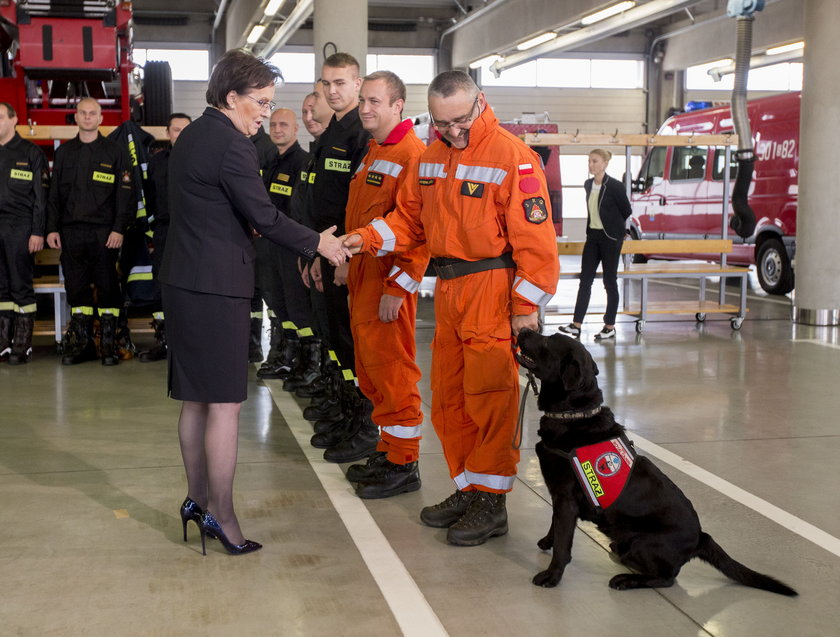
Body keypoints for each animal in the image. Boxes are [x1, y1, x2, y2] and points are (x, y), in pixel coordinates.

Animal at [516, 328, 796, 596]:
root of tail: (701, 538)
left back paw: (625, 580)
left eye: (548, 341)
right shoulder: (559, 498)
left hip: (642, 542)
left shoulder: (565, 499)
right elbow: (554, 526)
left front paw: (552, 576)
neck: (574, 415)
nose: (524, 329)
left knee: (666, 578)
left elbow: (563, 543)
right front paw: (547, 541)